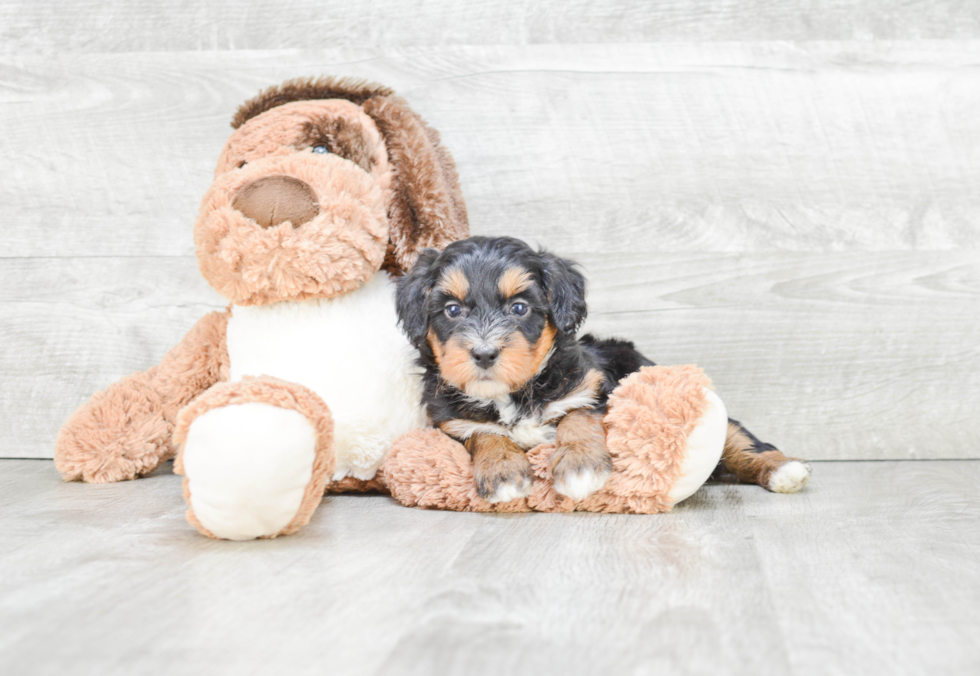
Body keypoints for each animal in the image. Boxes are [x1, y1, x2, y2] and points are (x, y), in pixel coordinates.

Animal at [394, 236, 656, 502]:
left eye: (519, 308)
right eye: (453, 310)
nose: (484, 354)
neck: (508, 395)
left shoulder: (592, 388)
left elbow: (579, 415)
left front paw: (580, 463)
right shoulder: (452, 423)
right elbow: (484, 433)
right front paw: (501, 471)